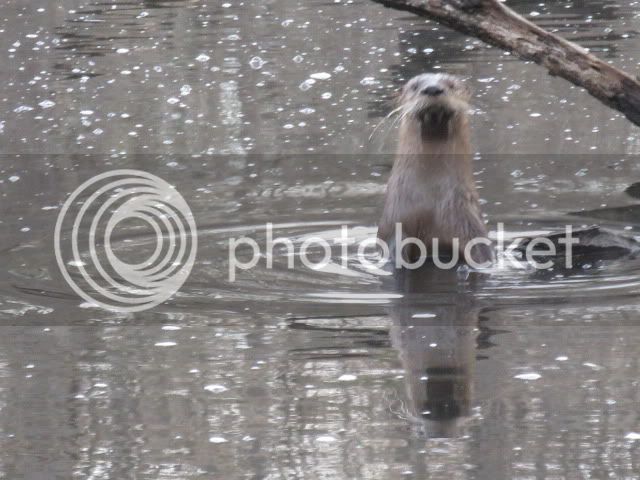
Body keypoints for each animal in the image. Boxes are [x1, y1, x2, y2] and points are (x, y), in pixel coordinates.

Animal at [376, 74, 490, 266]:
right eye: (414, 86)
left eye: (451, 85)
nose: (432, 89)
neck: (429, 201)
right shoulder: (395, 225)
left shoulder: (469, 225)